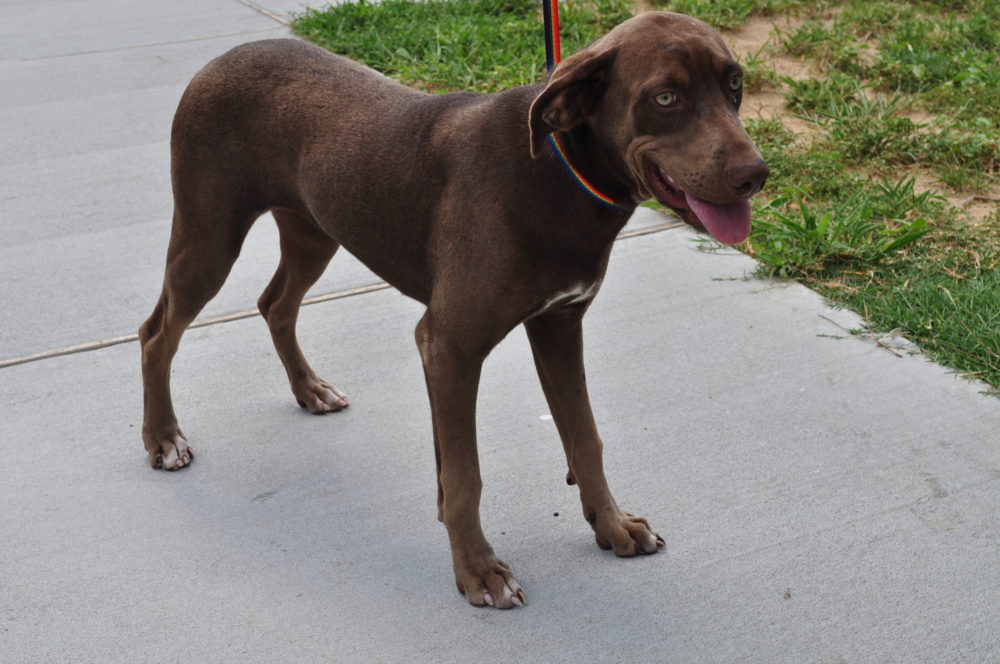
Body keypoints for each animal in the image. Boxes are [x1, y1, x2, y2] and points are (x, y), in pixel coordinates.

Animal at [139, 13, 764, 608]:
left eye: (735, 84)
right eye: (665, 98)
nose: (757, 175)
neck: (556, 174)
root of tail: (223, 57)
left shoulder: (559, 325)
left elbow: (585, 438)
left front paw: (611, 526)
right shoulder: (449, 346)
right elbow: (465, 476)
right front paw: (479, 572)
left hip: (313, 228)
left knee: (275, 304)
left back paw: (309, 389)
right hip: (209, 236)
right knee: (156, 333)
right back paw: (163, 439)